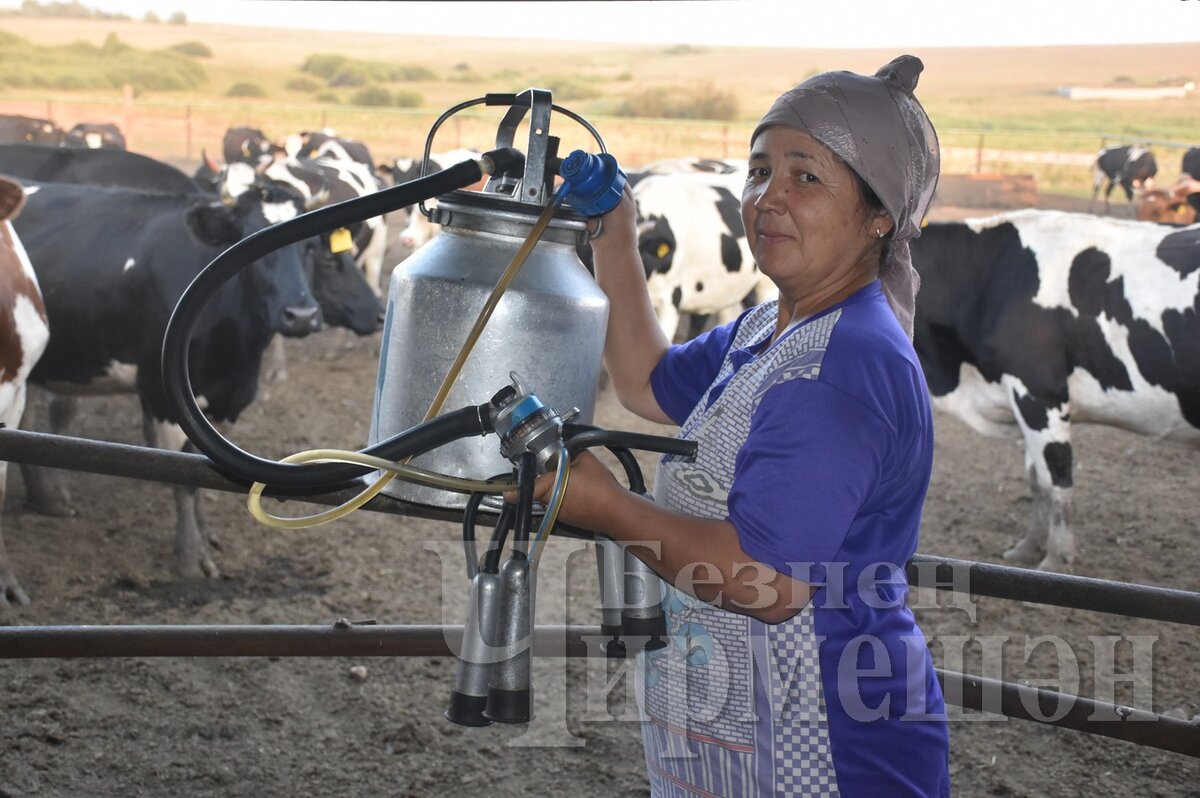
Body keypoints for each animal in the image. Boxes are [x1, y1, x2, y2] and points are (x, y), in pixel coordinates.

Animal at [15, 180, 324, 578]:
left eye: (312, 245)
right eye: (250, 238)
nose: (301, 315)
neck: (236, 362)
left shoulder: (224, 401)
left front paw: (206, 536)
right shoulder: (162, 397)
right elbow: (185, 481)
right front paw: (191, 556)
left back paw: (47, 499)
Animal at [907, 208, 1200, 568]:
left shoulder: (1039, 394)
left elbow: (1055, 479)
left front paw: (1057, 558)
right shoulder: (1022, 402)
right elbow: (1035, 477)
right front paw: (1029, 546)